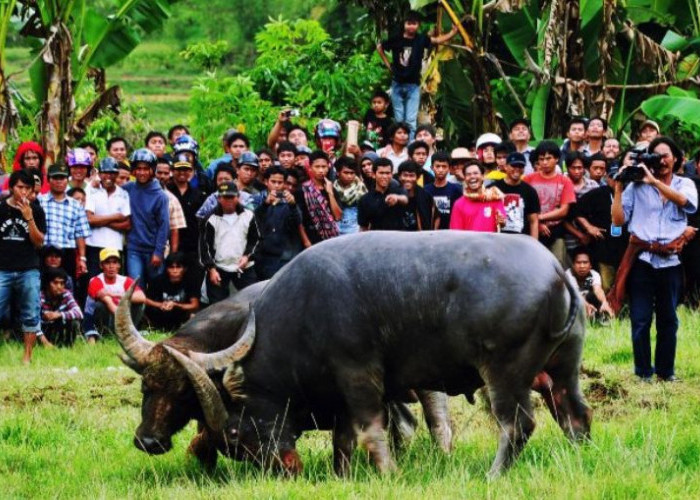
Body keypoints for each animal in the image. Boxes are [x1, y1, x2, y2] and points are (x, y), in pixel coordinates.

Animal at [164, 230, 592, 476]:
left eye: (235, 433)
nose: (285, 469)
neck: (303, 311)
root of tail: (556, 270)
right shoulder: (340, 392)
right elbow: (344, 440)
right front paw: (344, 475)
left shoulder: (358, 373)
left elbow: (370, 430)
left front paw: (388, 473)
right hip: (563, 367)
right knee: (575, 413)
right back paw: (578, 457)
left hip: (506, 372)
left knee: (517, 425)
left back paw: (493, 475)